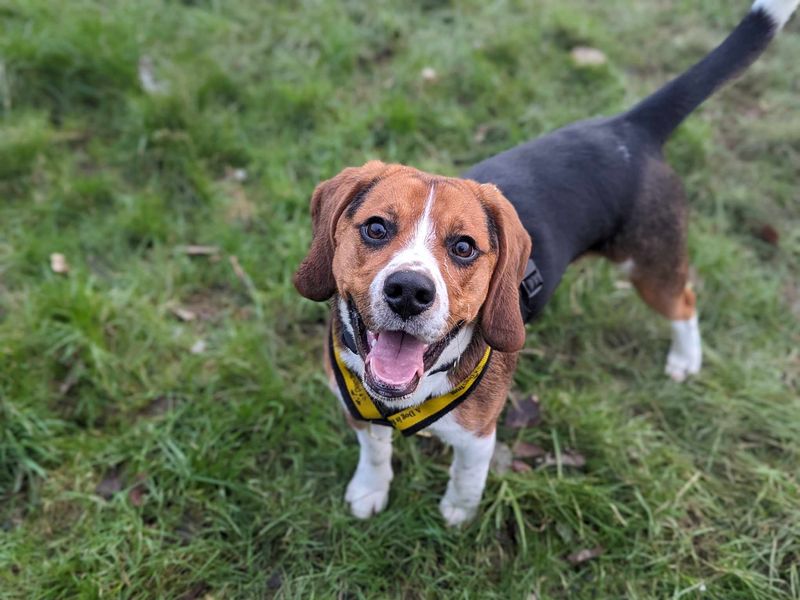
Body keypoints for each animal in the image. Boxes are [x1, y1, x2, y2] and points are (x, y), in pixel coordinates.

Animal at [294, 0, 800, 524]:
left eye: (464, 247)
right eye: (376, 228)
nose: (410, 292)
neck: (406, 396)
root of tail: (631, 125)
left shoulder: (478, 435)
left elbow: (466, 476)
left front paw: (458, 514)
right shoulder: (357, 410)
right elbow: (374, 452)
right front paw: (370, 488)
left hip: (646, 265)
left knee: (685, 300)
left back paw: (685, 358)